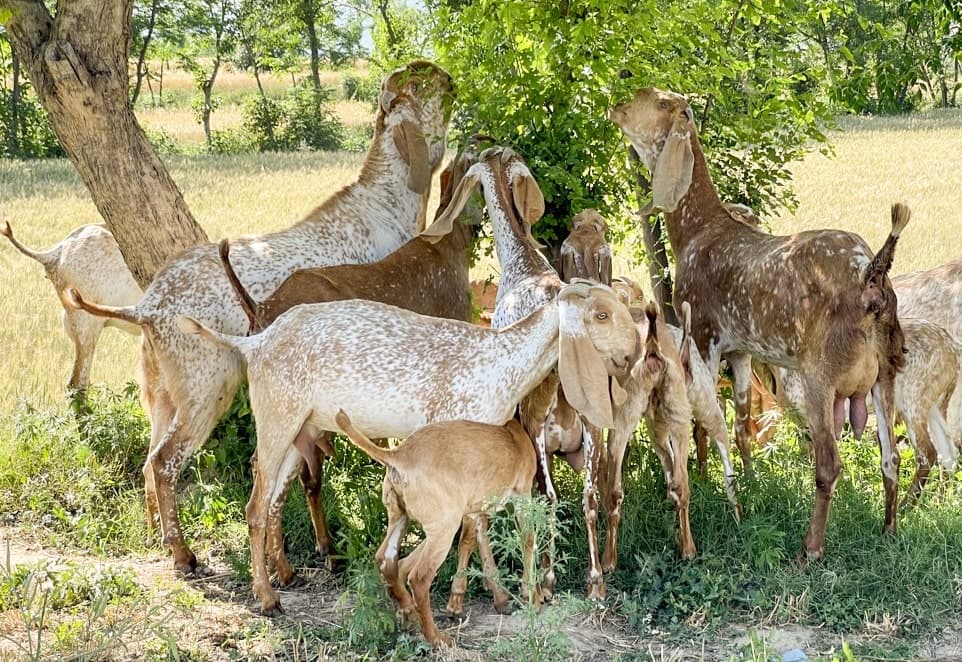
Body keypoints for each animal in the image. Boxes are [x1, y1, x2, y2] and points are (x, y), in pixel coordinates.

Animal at [64, 61, 455, 576]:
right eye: (422, 82)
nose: (451, 80)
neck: (383, 205)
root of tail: (148, 306)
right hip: (208, 384)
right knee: (166, 461)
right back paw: (185, 555)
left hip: (163, 390)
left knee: (149, 459)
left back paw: (155, 535)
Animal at [177, 279, 637, 613]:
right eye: (600, 314)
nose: (633, 353)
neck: (501, 364)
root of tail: (255, 343)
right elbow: (472, 528)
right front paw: (476, 598)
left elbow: (477, 525)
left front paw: (495, 596)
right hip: (277, 416)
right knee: (255, 506)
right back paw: (267, 598)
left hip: (297, 428)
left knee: (273, 499)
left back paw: (287, 575)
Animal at [334, 410, 537, 648]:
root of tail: (399, 455)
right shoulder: (522, 493)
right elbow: (527, 538)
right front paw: (531, 595)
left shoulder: (474, 511)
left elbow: (475, 542)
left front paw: (498, 598)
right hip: (443, 527)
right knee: (418, 578)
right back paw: (437, 638)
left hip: (402, 517)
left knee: (386, 559)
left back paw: (408, 615)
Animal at [610, 87, 908, 559]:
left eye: (658, 102)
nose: (618, 103)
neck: (699, 231)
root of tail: (871, 274)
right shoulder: (741, 351)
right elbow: (742, 423)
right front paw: (750, 483)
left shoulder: (704, 338)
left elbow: (703, 423)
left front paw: (705, 480)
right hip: (887, 374)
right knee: (891, 457)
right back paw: (889, 530)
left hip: (818, 377)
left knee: (829, 462)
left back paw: (809, 550)